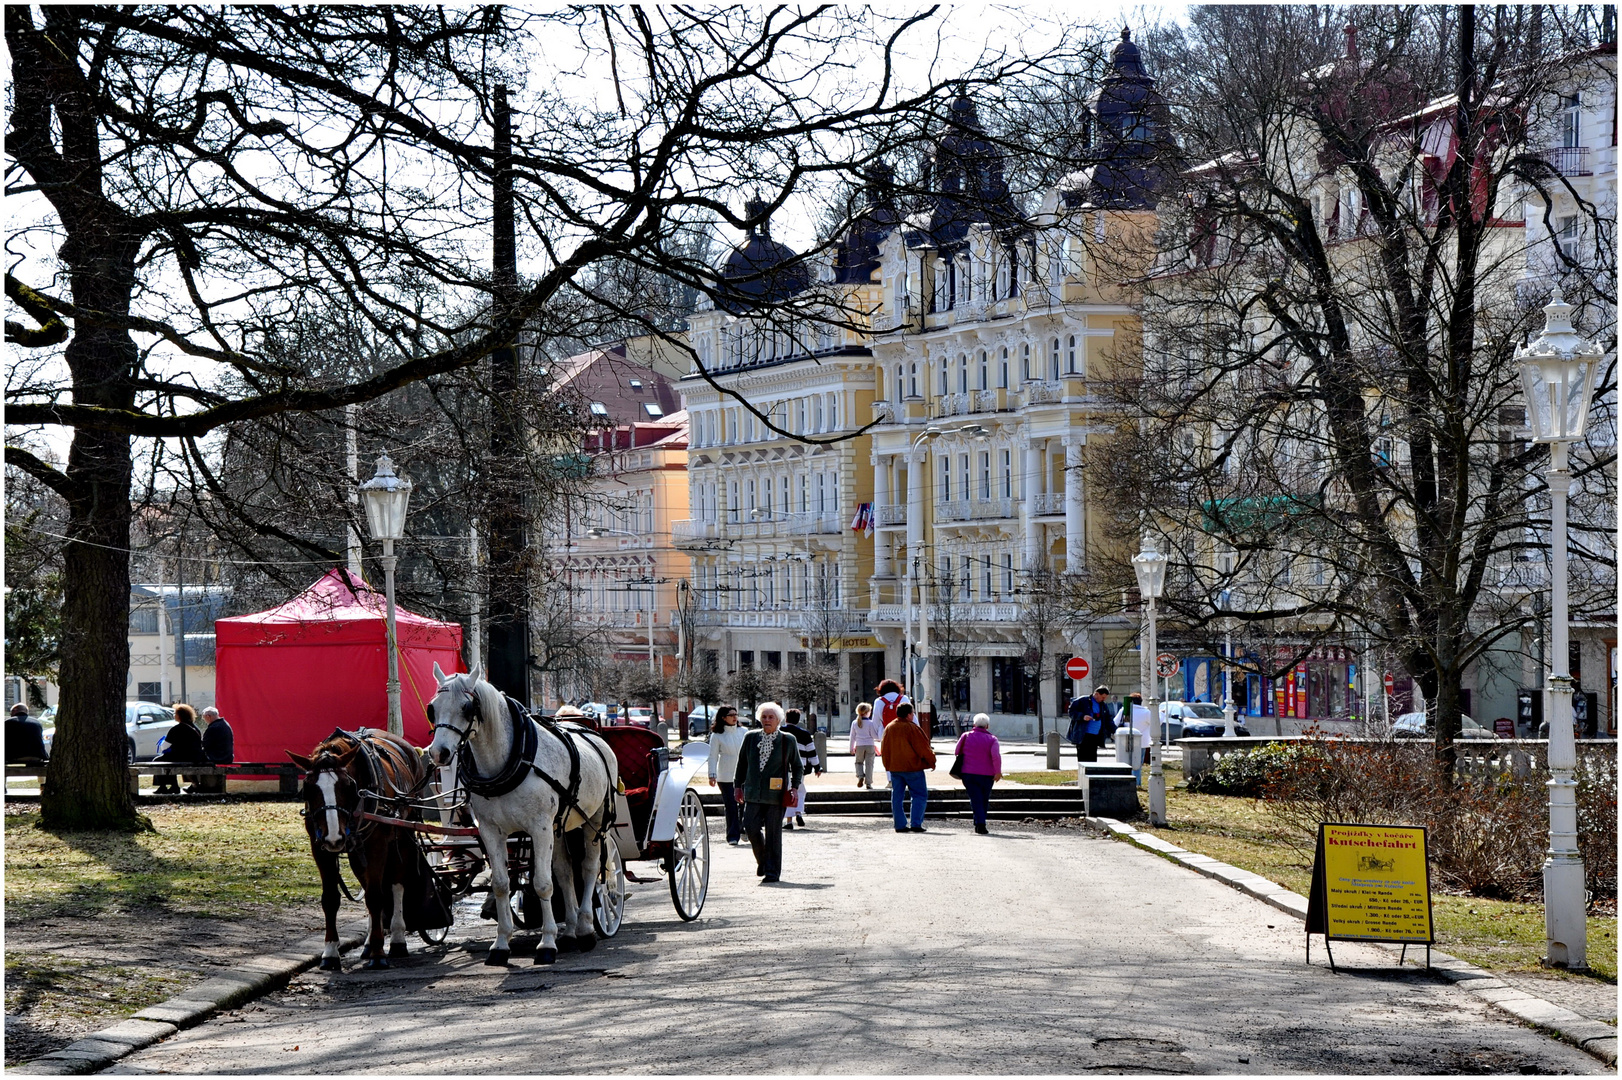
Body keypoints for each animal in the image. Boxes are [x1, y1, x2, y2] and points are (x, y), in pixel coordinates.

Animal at [288, 723, 434, 966]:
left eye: (348, 786)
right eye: (308, 788)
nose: (334, 836)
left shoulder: (378, 843)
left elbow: (376, 896)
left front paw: (378, 953)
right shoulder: (319, 846)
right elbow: (331, 899)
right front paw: (330, 952)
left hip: (404, 833)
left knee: (396, 883)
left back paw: (396, 939)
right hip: (357, 850)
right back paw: (368, 943)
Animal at [424, 661, 613, 960]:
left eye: (467, 708)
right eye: (432, 708)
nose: (438, 753)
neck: (509, 760)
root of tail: (592, 734)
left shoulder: (539, 827)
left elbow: (542, 883)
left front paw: (547, 943)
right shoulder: (492, 831)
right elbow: (502, 884)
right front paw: (501, 943)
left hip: (594, 822)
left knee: (589, 869)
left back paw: (585, 929)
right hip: (559, 827)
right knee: (565, 872)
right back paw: (570, 930)